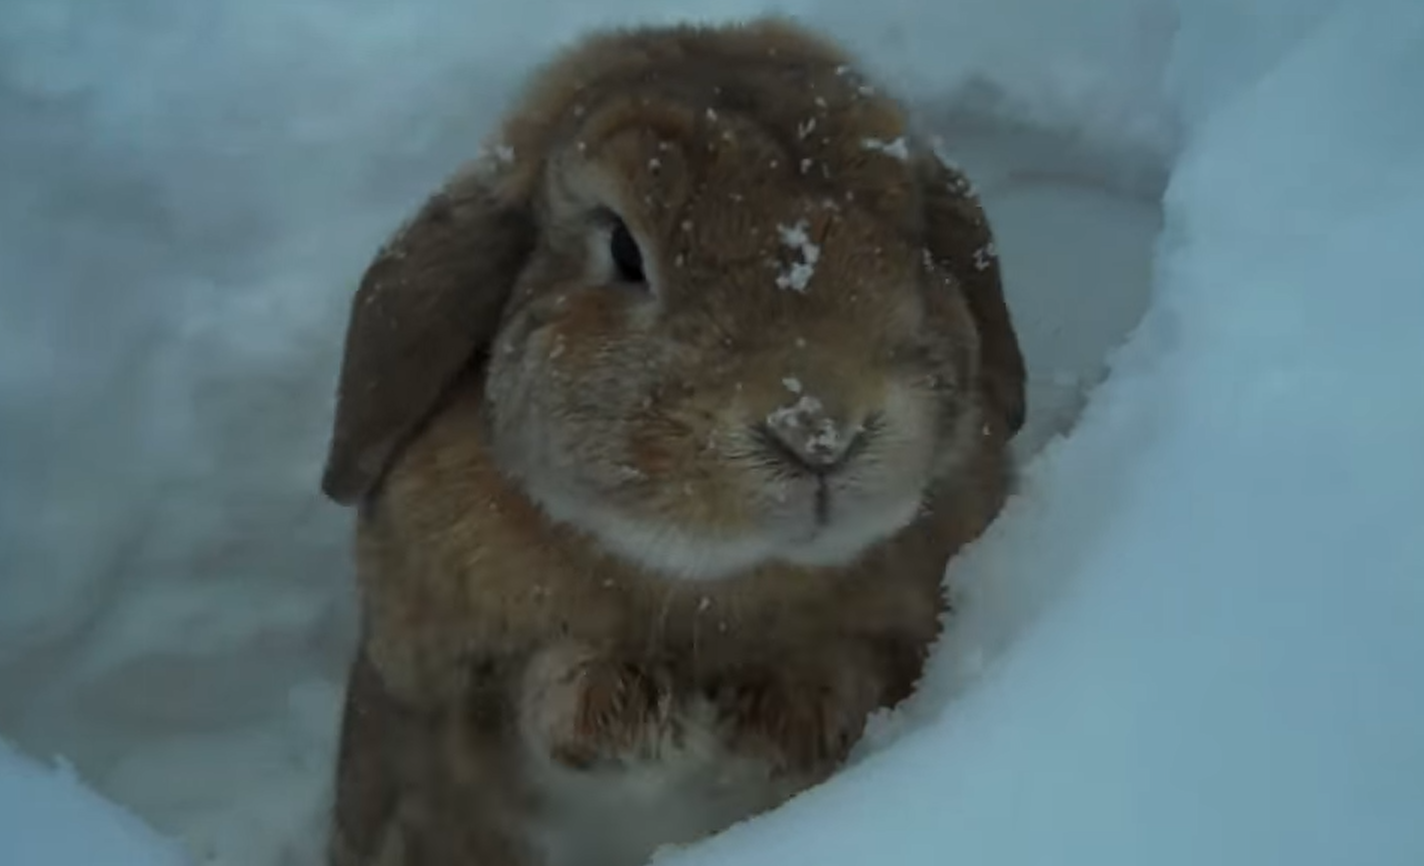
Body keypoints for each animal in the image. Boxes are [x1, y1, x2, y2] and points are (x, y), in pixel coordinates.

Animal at [317, 13, 1025, 866]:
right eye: (624, 250)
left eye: (911, 231)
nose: (818, 429)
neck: (715, 588)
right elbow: (532, 712)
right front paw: (649, 715)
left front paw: (766, 717)